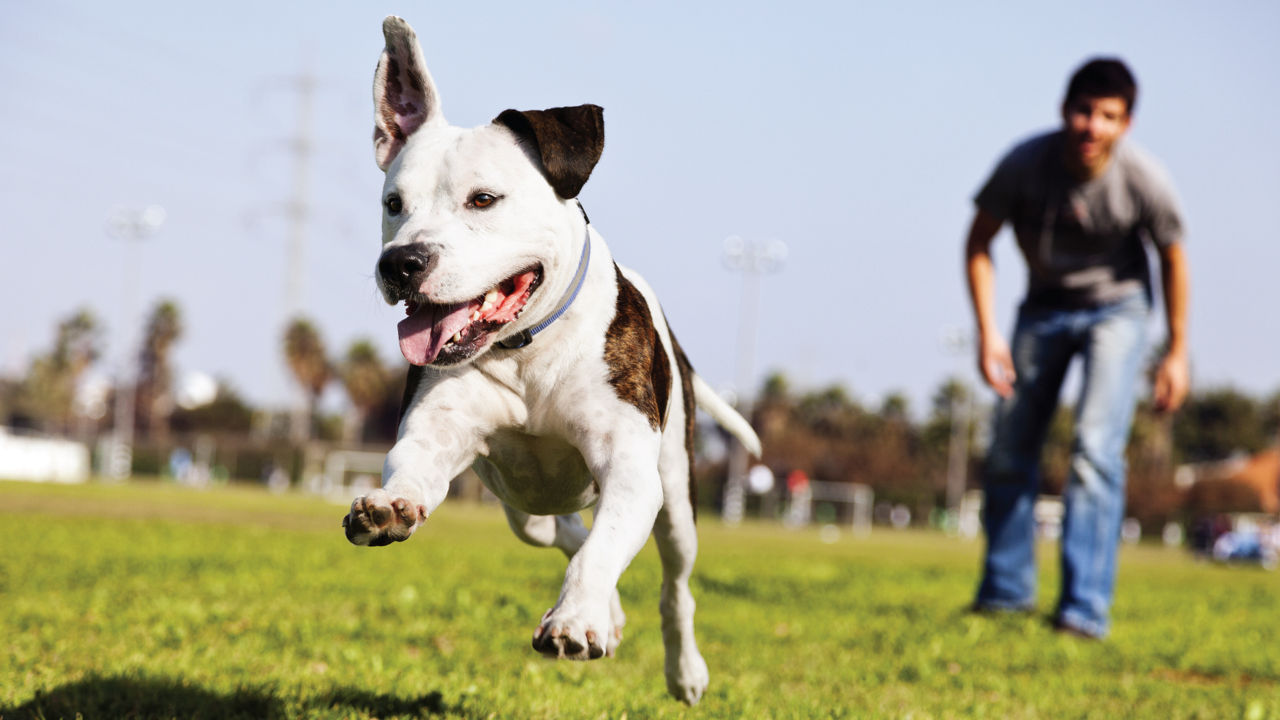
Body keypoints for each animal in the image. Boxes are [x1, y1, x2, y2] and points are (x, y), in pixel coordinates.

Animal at [343, 15, 757, 702]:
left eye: (484, 199)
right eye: (393, 204)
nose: (401, 263)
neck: (527, 349)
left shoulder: (629, 468)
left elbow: (605, 547)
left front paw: (575, 619)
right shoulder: (435, 431)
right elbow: (413, 467)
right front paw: (389, 507)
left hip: (676, 497)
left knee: (673, 583)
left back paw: (682, 668)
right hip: (522, 506)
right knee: (560, 530)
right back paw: (611, 615)